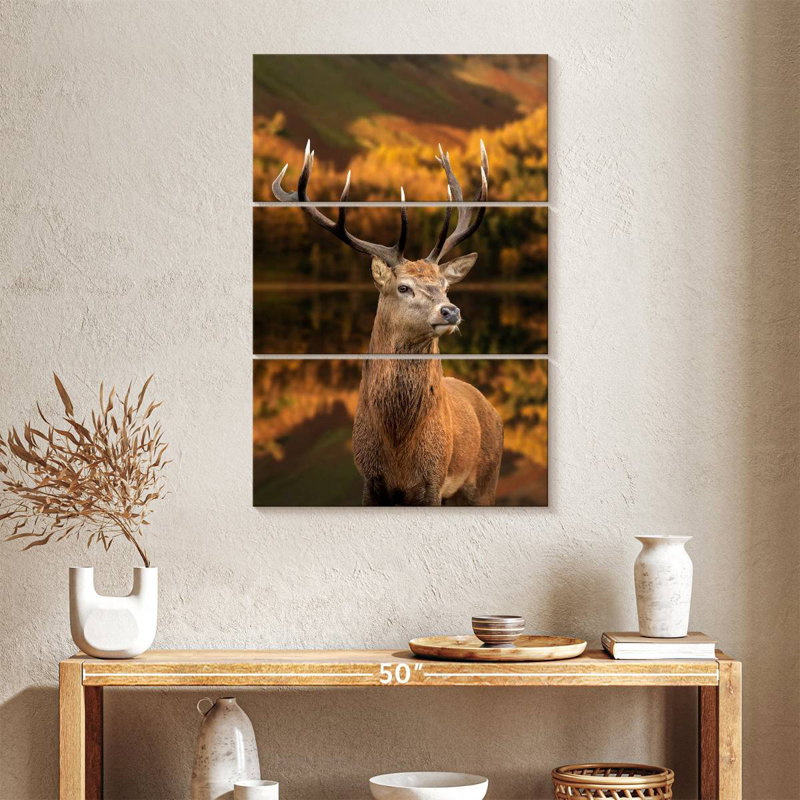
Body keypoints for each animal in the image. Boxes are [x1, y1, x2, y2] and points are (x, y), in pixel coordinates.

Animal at [272, 141, 503, 506]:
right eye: (403, 287)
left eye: (446, 285)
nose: (450, 311)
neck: (398, 451)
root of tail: (492, 410)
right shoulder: (369, 480)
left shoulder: (433, 482)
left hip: (485, 482)